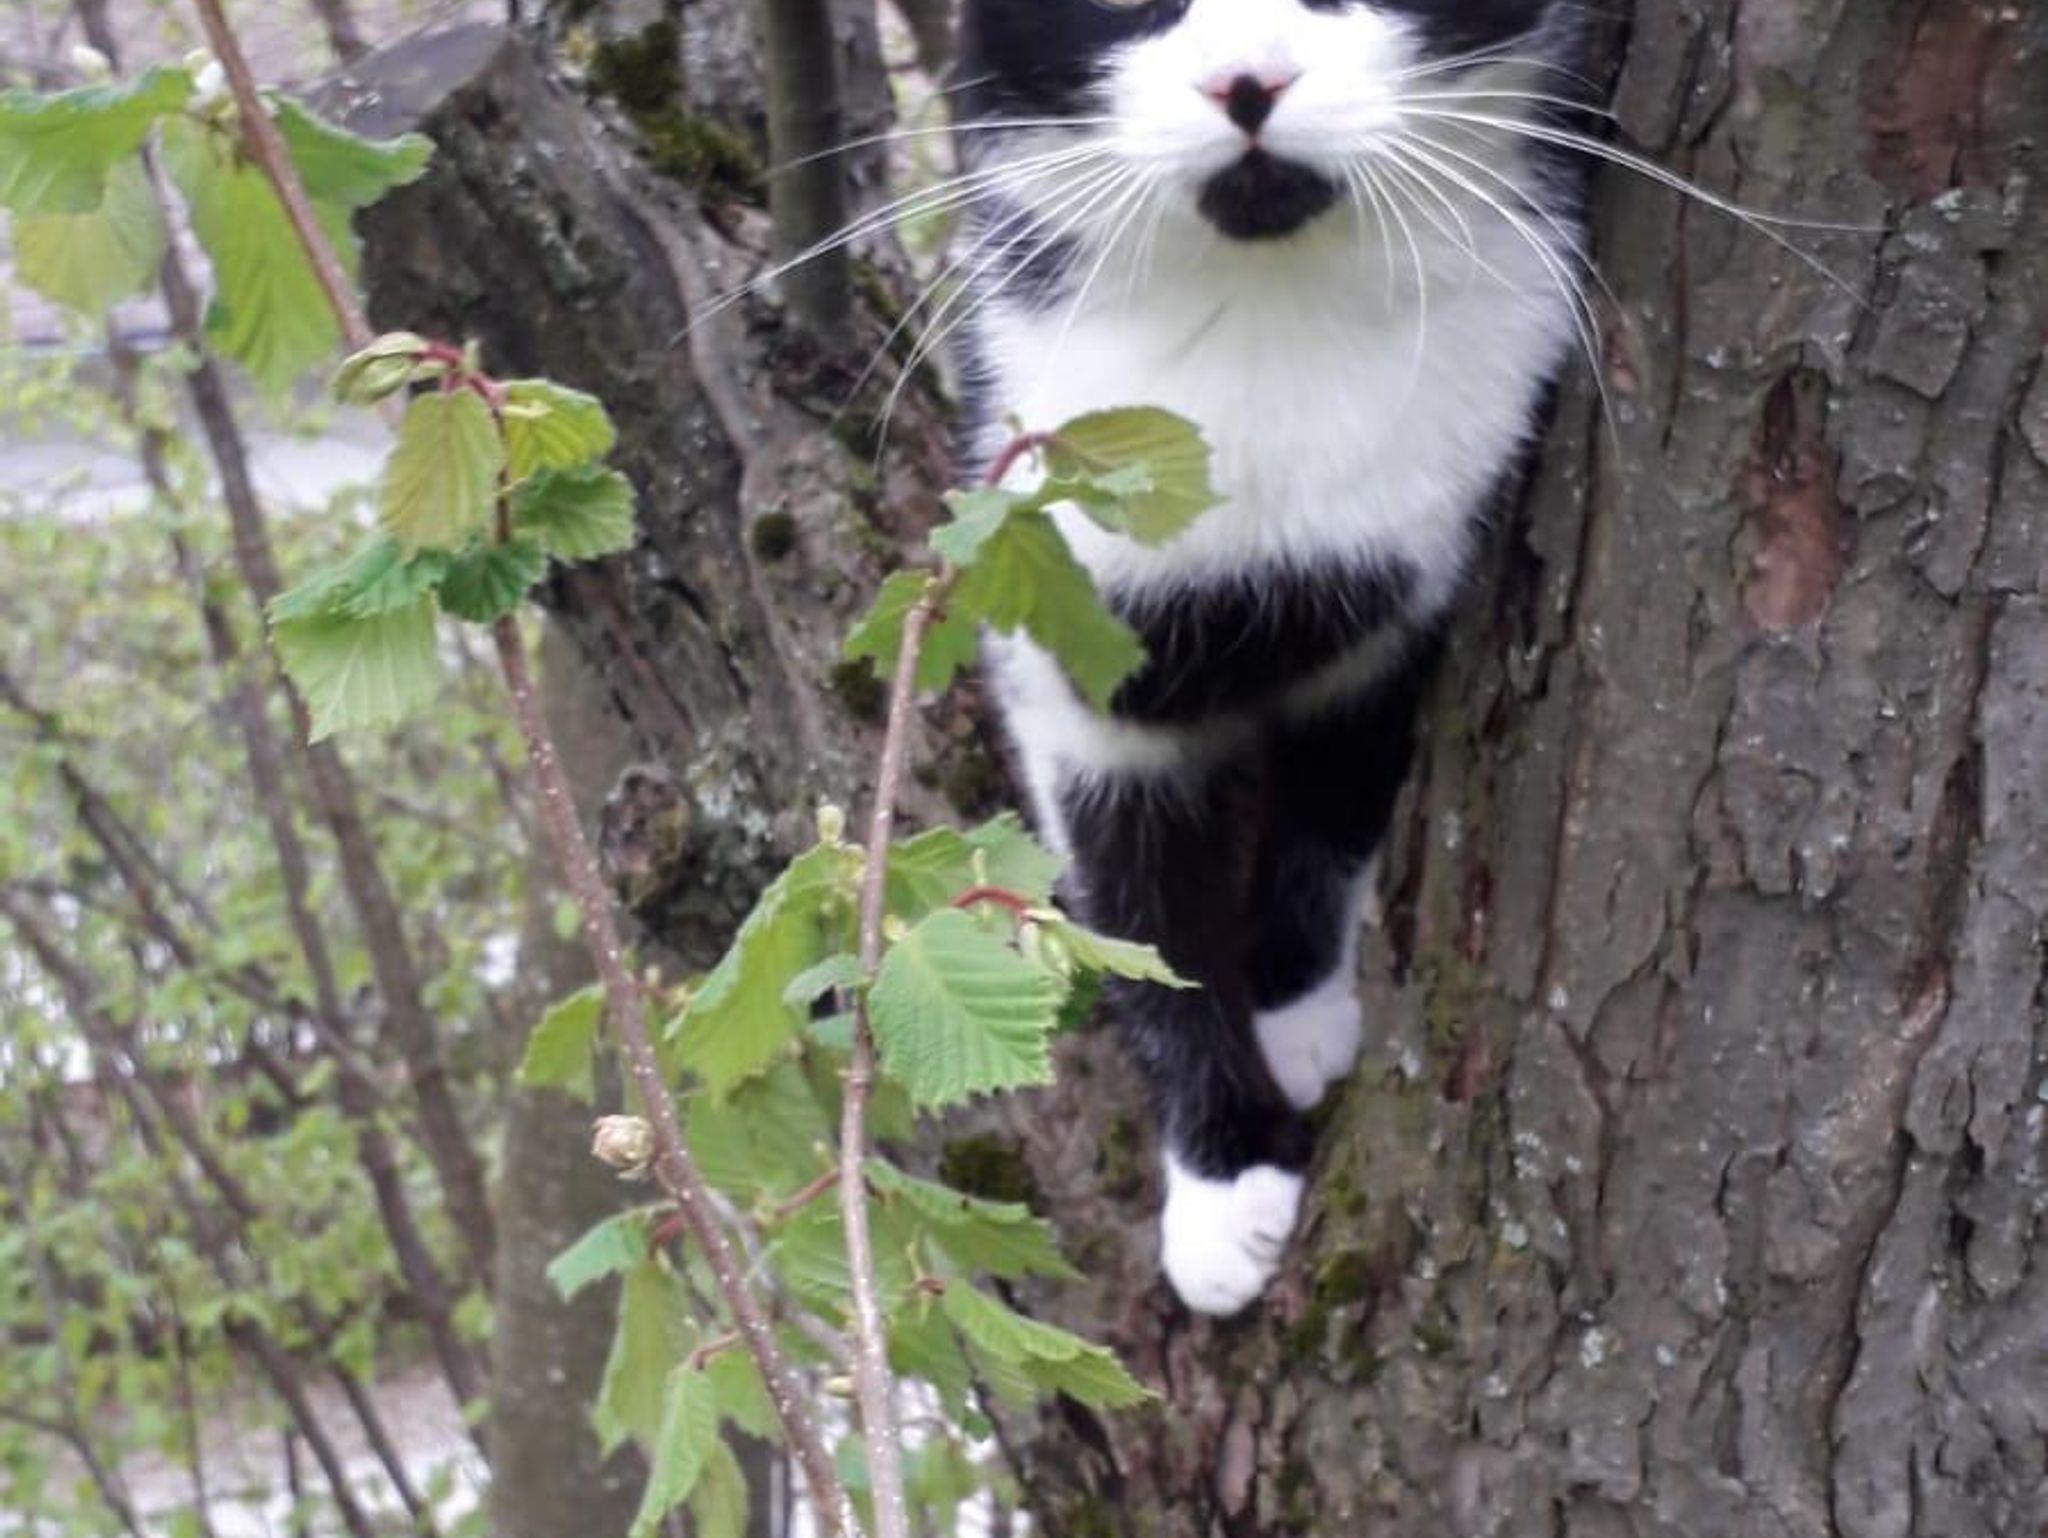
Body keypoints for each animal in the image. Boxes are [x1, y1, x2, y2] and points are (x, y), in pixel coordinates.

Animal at [947, 0, 1595, 1314]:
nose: (1246, 78)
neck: (1259, 324)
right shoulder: (1075, 648)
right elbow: (1137, 911)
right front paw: (1220, 1174)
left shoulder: (1394, 595)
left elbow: (1333, 804)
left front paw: (1293, 1009)